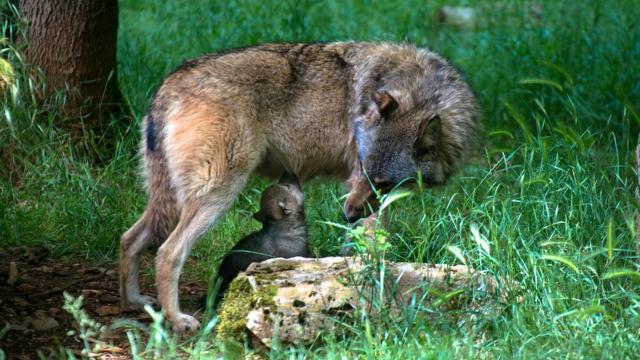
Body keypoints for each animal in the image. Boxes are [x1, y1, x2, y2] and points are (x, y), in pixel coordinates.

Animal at [120, 42, 480, 332]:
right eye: (362, 169)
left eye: (383, 182)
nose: (346, 215)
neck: (419, 90)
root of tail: (172, 82)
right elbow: (371, 246)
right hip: (217, 196)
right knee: (168, 253)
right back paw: (177, 320)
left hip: (169, 201)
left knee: (129, 238)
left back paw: (134, 301)